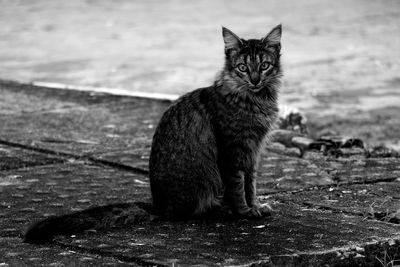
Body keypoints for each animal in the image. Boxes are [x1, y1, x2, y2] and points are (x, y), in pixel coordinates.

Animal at [24, 25, 282, 245]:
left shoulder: (252, 153)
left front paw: (256, 206)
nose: (255, 79)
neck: (256, 100)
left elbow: (251, 185)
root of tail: (159, 206)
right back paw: (223, 210)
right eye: (243, 68)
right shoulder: (233, 152)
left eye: (264, 66)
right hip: (207, 180)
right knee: (195, 211)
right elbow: (238, 188)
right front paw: (244, 212)